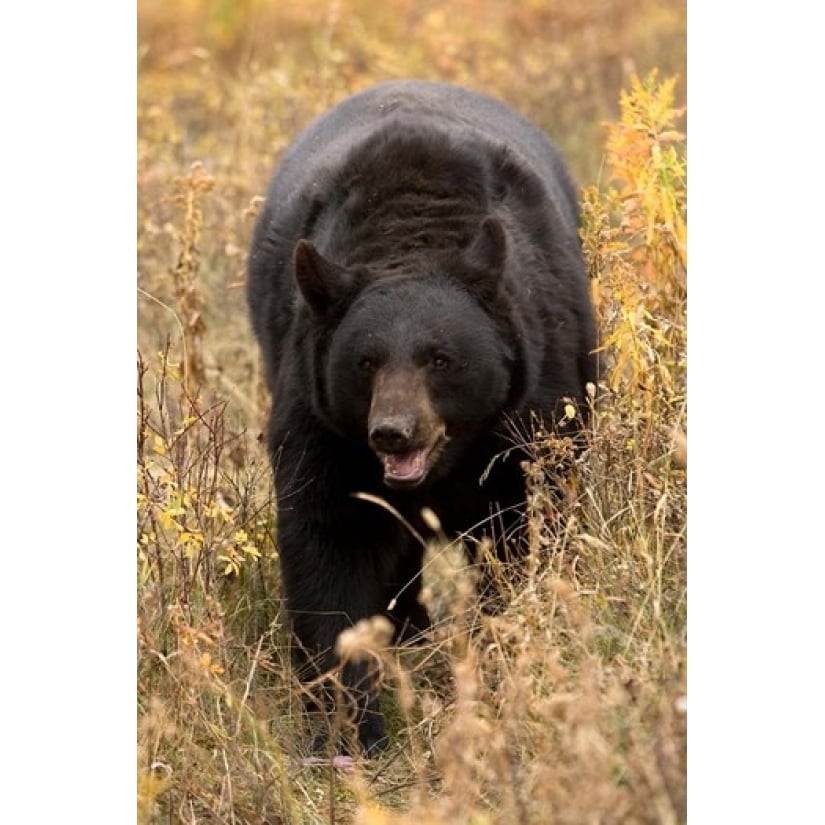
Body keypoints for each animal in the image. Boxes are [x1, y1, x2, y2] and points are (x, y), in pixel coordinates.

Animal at [248, 80, 596, 756]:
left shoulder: (531, 405)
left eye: (441, 358)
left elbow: (527, 525)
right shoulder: (324, 422)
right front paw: (347, 732)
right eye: (365, 361)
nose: (393, 432)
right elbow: (330, 544)